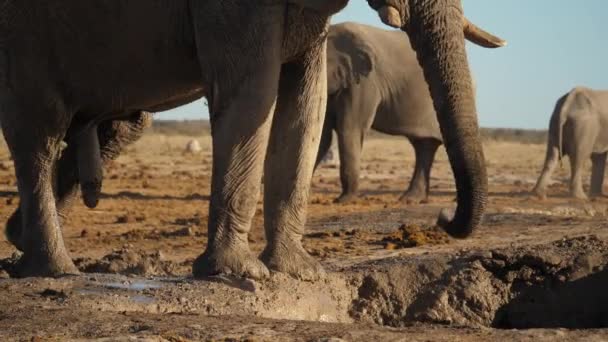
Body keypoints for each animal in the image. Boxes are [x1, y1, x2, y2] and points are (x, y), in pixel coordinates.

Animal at [316, 22, 444, 204]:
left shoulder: (365, 82)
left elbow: (349, 129)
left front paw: (343, 200)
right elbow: (321, 135)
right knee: (424, 146)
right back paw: (410, 199)